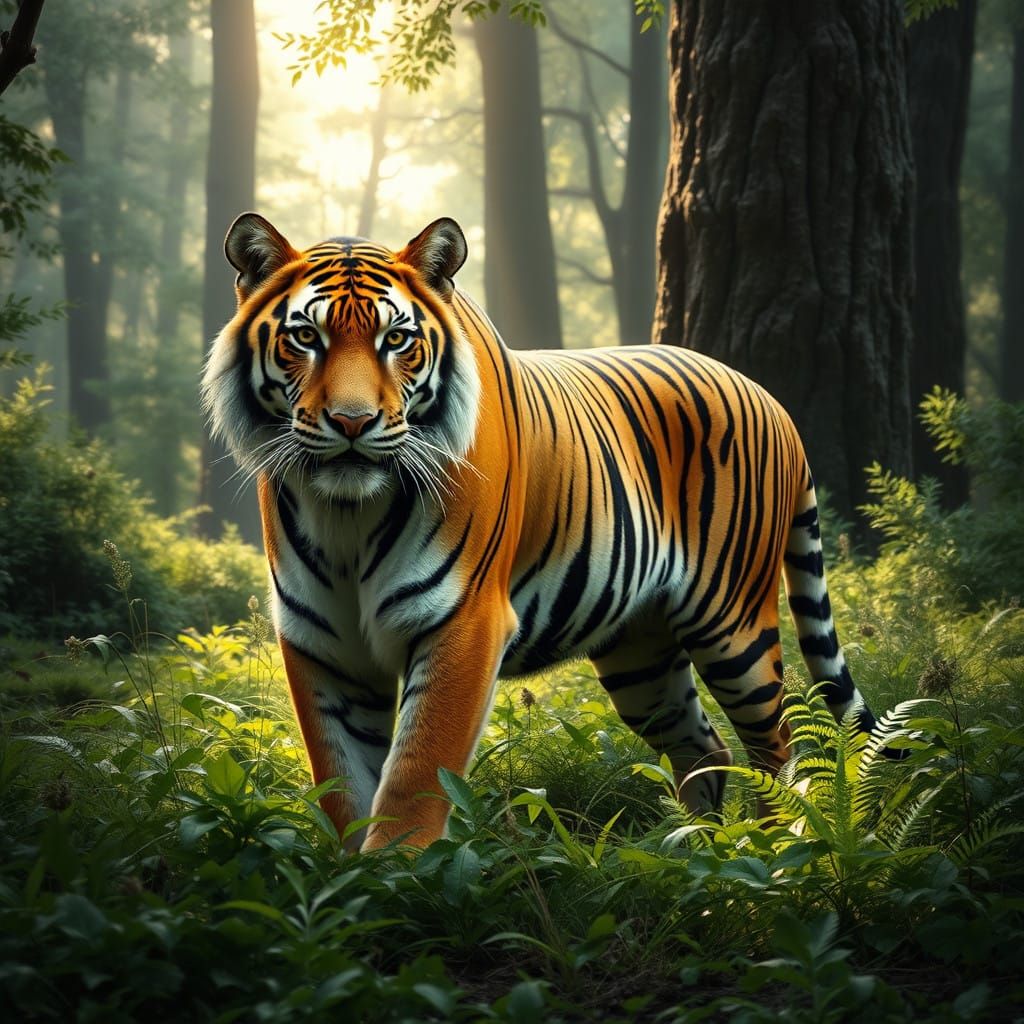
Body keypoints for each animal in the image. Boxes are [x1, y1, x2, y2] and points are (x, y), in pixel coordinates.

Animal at [201, 213, 884, 851]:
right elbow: (343, 785)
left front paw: (392, 873)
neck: (347, 516)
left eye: (396, 339)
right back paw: (697, 850)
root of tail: (773, 400)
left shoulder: (462, 620)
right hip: (641, 655)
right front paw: (349, 882)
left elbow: (415, 775)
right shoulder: (321, 640)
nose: (351, 422)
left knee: (777, 747)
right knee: (704, 747)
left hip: (733, 625)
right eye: (305, 337)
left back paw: (771, 850)